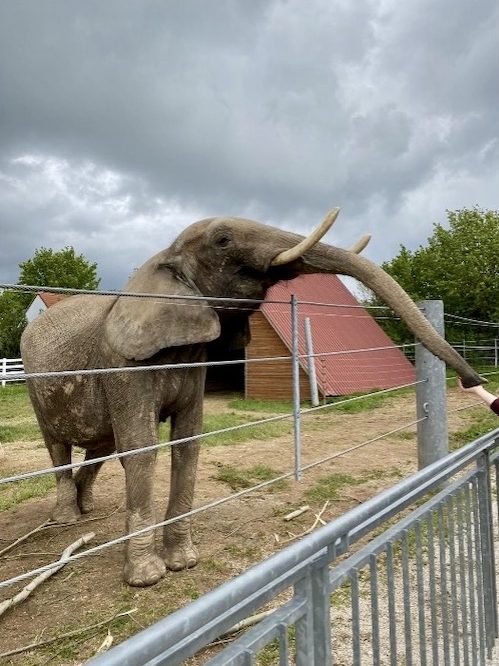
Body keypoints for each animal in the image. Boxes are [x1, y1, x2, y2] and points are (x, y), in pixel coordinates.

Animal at [20, 206, 484, 580]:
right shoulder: (122, 364)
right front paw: (147, 577)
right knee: (59, 446)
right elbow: (141, 448)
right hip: (34, 383)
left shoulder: (192, 364)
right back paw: (66, 520)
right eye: (223, 241)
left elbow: (188, 443)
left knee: (99, 447)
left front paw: (184, 563)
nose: (474, 382)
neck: (161, 261)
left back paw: (87, 509)